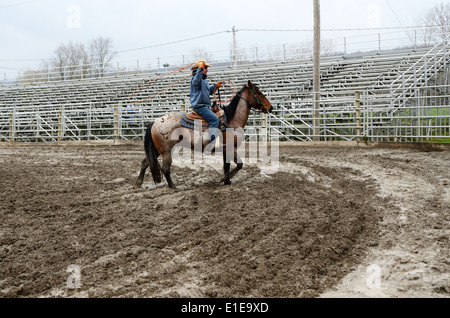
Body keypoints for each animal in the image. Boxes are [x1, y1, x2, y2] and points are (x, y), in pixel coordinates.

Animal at [135, 80, 272, 189]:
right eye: (259, 93)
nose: (270, 107)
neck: (231, 120)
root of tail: (155, 121)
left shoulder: (225, 150)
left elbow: (226, 166)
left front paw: (227, 182)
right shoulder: (230, 148)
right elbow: (239, 165)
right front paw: (222, 179)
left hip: (157, 149)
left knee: (145, 162)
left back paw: (138, 183)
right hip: (166, 150)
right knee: (165, 168)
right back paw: (173, 186)